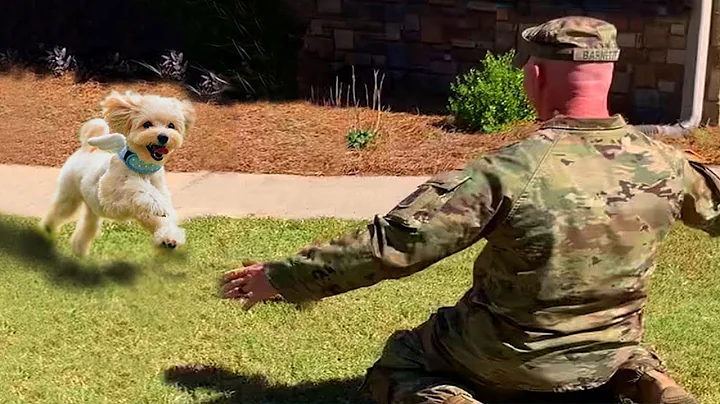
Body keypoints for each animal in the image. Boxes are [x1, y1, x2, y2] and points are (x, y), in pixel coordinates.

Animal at [38, 90, 197, 256]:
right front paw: (155, 201)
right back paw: (46, 231)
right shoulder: (110, 200)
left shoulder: (143, 210)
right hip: (69, 197)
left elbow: (162, 219)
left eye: (171, 125)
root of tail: (86, 149)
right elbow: (134, 187)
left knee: (87, 227)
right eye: (147, 124)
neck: (142, 167)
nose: (163, 136)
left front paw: (169, 239)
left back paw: (79, 250)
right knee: (56, 213)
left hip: (92, 208)